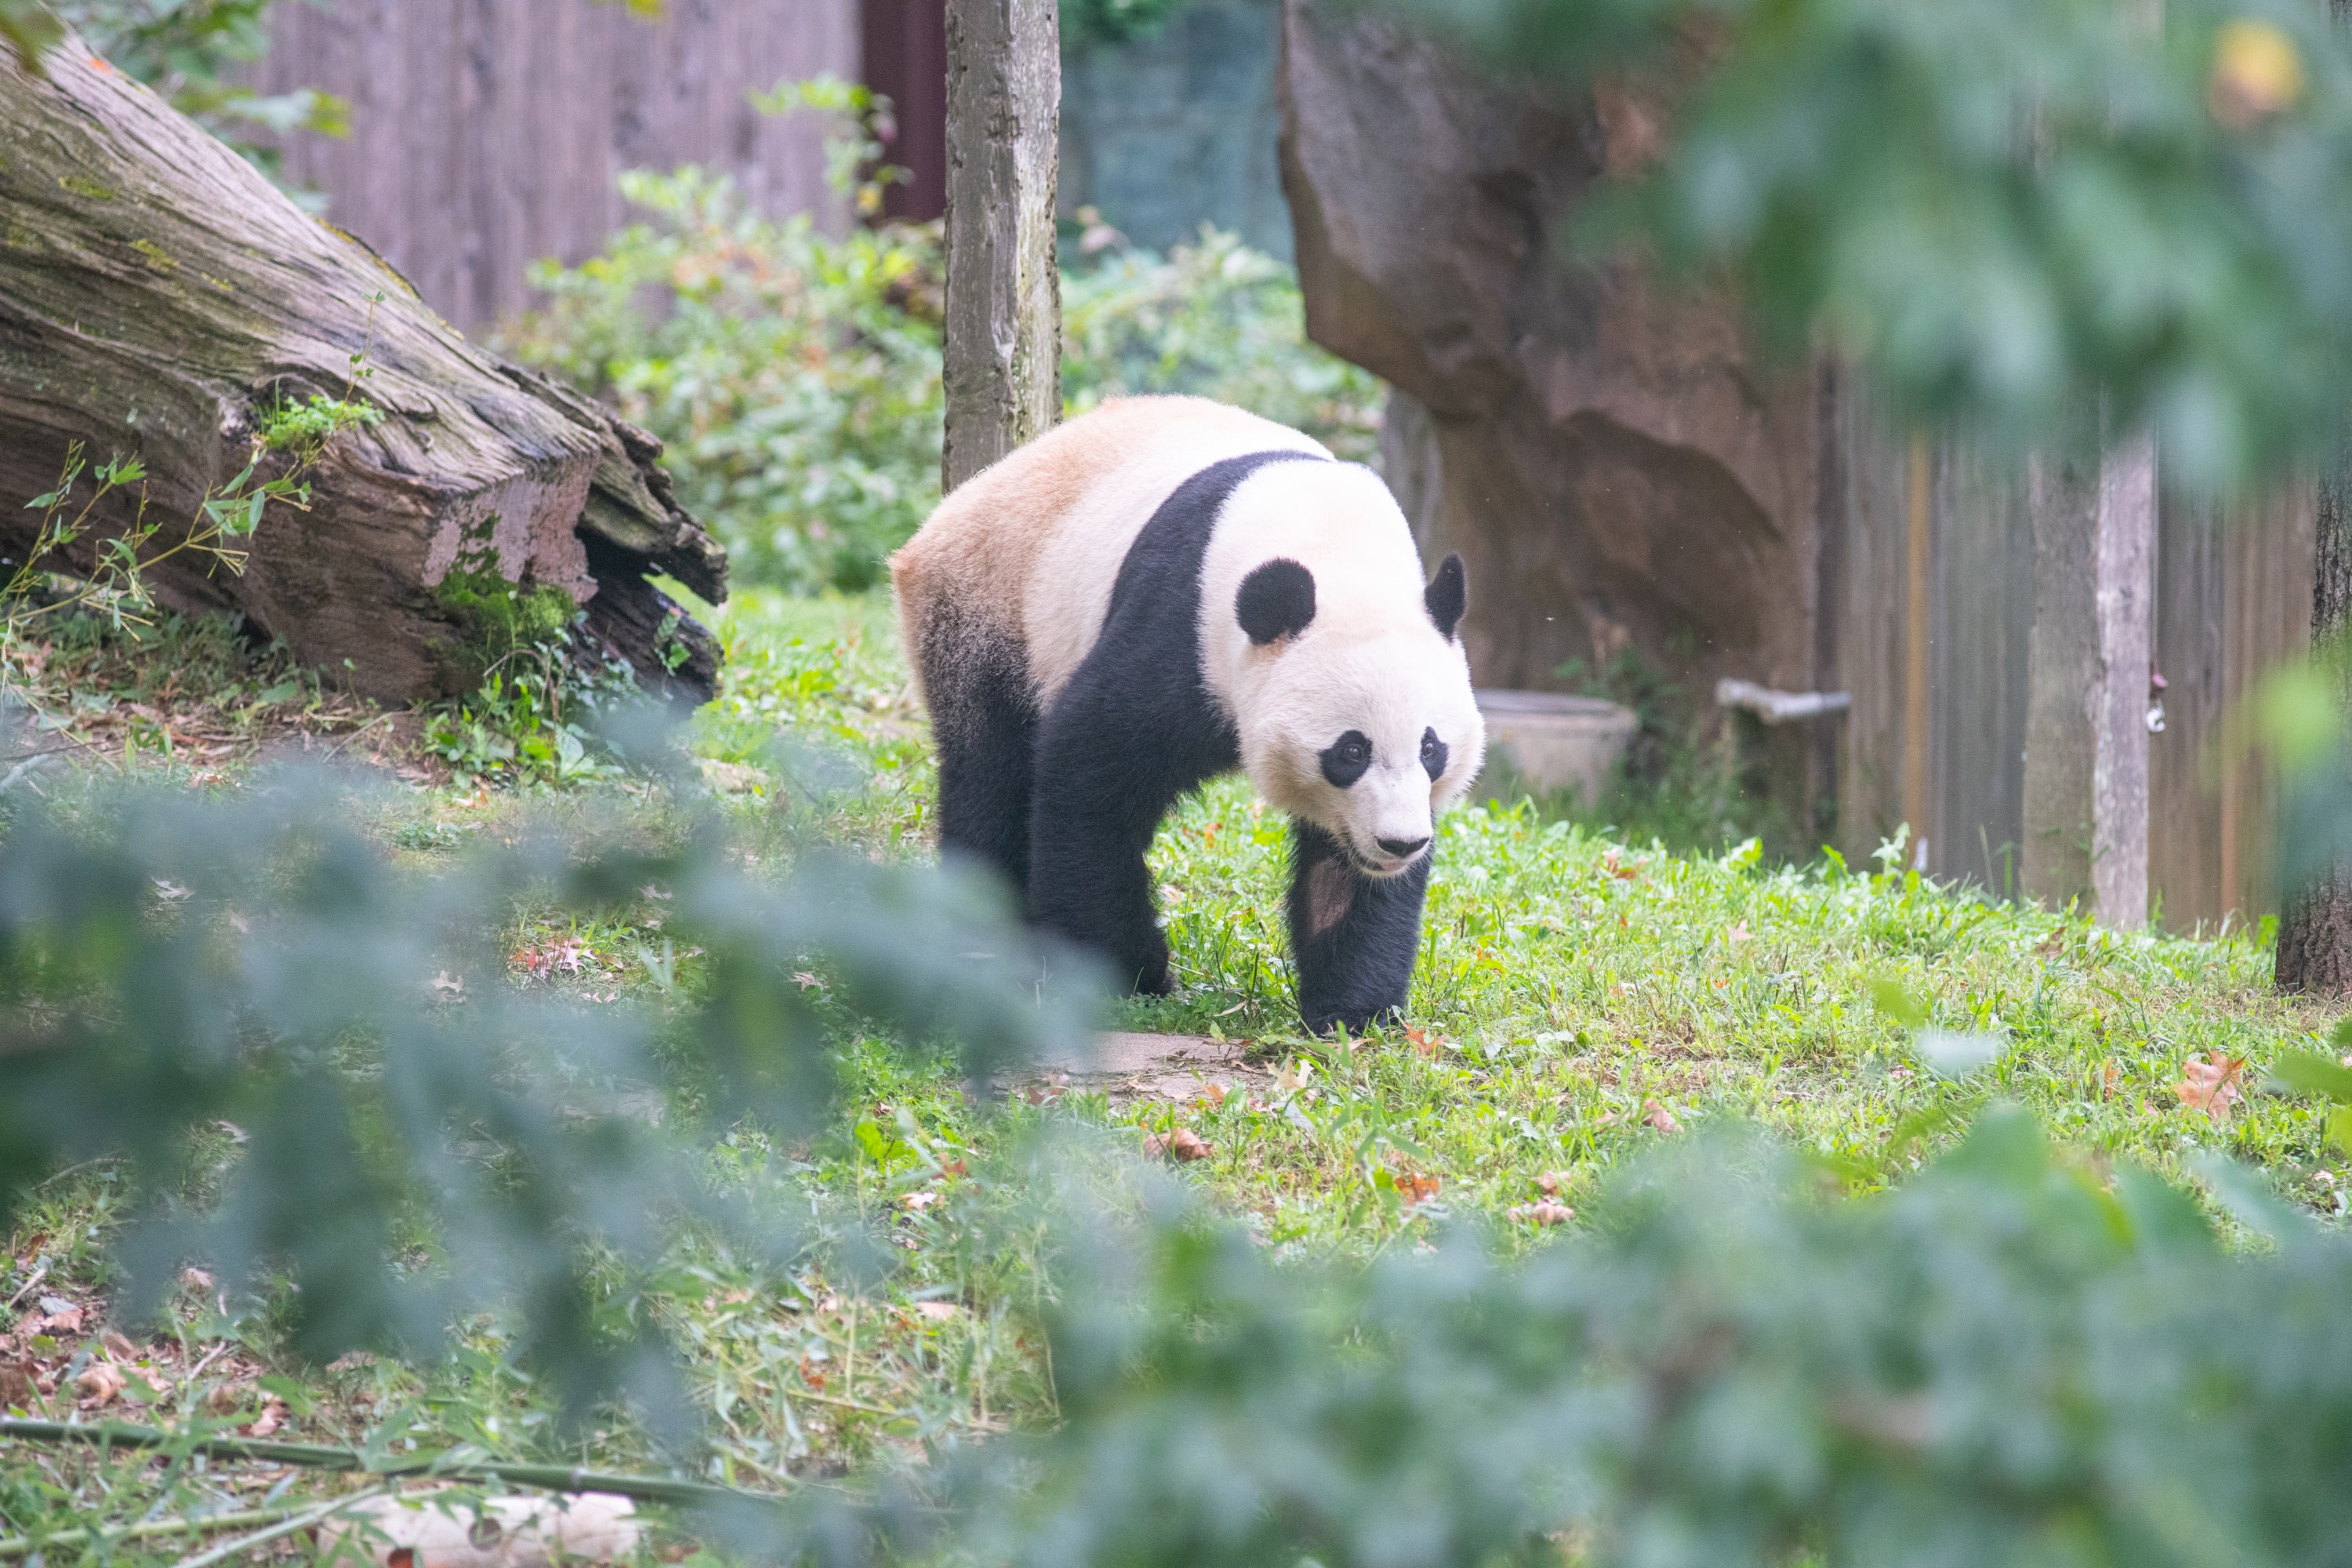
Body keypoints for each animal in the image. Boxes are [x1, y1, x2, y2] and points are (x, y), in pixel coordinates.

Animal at [890, 395, 1485, 1034]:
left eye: (1431, 749)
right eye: (1351, 751)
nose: (1401, 843)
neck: (1339, 554)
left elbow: (1344, 872)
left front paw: (1354, 1012)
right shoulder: (1183, 627)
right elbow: (1089, 769)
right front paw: (1124, 971)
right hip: (988, 609)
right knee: (989, 771)